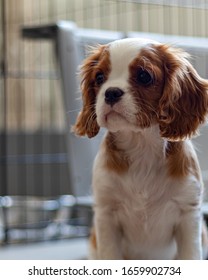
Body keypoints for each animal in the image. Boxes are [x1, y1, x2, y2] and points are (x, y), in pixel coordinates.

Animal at [73, 38, 208, 260]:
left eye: (144, 76)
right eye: (99, 77)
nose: (111, 92)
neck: (141, 144)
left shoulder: (188, 213)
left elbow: (190, 255)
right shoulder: (106, 214)